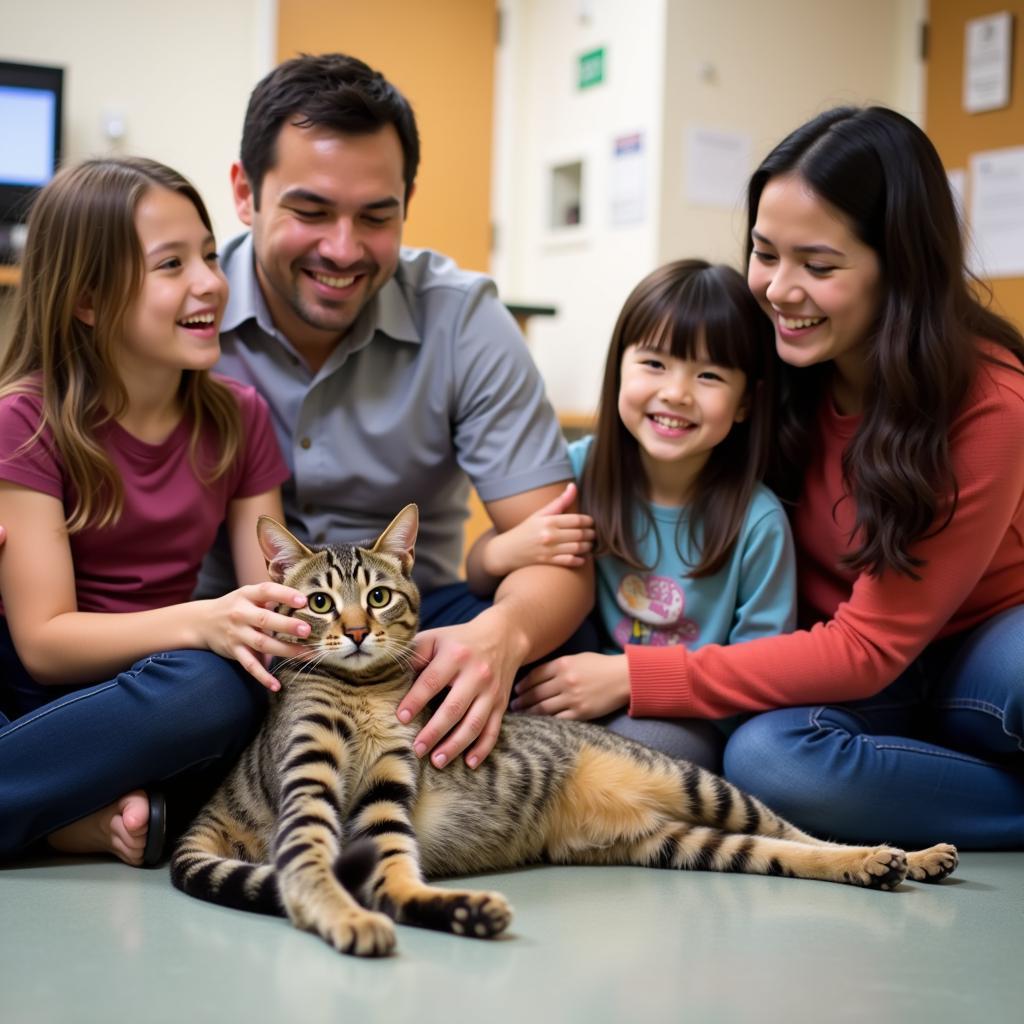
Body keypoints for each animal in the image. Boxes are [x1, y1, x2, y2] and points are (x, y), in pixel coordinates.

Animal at [169, 507, 958, 954]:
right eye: (321, 603)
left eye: (381, 596)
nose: (359, 632)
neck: (363, 693)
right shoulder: (315, 784)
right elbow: (329, 871)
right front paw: (363, 915)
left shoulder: (391, 787)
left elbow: (382, 869)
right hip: (682, 840)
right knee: (778, 850)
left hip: (697, 785)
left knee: (801, 834)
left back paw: (904, 856)